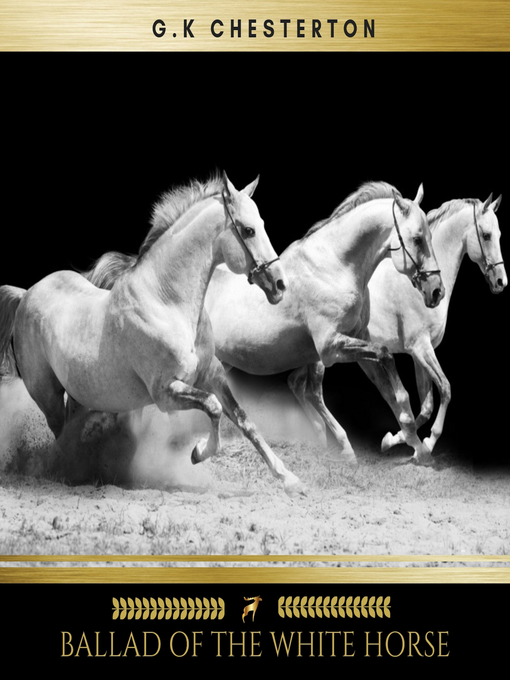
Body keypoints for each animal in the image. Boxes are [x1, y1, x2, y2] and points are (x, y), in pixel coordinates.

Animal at [0, 172, 306, 496]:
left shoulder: (213, 376)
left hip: (79, 394)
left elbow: (244, 420)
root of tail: (26, 294)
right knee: (59, 433)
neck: (167, 302)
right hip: (47, 395)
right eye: (248, 230)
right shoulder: (165, 393)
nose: (280, 284)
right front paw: (198, 453)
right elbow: (212, 407)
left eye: (262, 224)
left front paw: (289, 478)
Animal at [81, 181, 445, 465]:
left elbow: (394, 388)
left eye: (429, 235)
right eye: (417, 238)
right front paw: (407, 439)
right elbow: (385, 361)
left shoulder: (352, 343)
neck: (334, 266)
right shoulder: (331, 348)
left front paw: (412, 442)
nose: (437, 290)